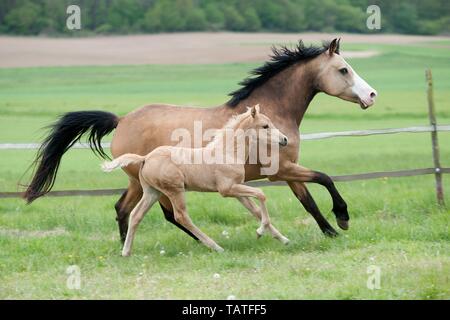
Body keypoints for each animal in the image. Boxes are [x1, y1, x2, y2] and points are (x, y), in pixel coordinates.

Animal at [23, 37, 376, 242]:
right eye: (344, 70)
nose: (371, 95)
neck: (270, 113)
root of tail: (121, 120)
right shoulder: (282, 170)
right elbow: (325, 179)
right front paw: (342, 220)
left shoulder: (287, 170)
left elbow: (309, 200)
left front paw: (330, 231)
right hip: (148, 181)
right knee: (156, 212)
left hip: (141, 182)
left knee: (127, 209)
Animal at [103, 105, 288, 258]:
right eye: (265, 126)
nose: (285, 139)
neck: (228, 152)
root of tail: (145, 158)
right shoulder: (227, 189)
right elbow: (261, 194)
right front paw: (260, 232)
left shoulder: (237, 190)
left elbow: (255, 210)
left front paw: (282, 238)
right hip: (174, 190)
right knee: (181, 216)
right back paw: (215, 246)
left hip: (152, 192)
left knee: (136, 215)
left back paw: (126, 252)